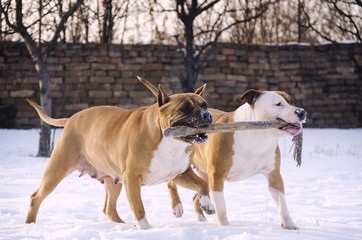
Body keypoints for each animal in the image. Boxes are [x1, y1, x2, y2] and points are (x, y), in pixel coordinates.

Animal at [25, 78, 215, 230]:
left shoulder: (180, 173)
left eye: (205, 105)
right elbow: (138, 207)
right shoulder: (132, 178)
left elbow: (203, 184)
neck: (170, 140)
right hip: (58, 168)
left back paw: (122, 225)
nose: (207, 115)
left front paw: (207, 204)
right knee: (36, 197)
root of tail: (70, 118)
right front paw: (145, 229)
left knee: (109, 208)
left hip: (113, 181)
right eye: (184, 108)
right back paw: (29, 224)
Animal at [169, 89, 306, 229]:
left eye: (292, 101)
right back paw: (177, 207)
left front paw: (289, 224)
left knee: (198, 192)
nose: (301, 112)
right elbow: (221, 208)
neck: (258, 136)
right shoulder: (217, 176)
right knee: (171, 182)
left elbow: (282, 202)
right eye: (278, 104)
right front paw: (225, 227)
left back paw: (202, 217)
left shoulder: (274, 175)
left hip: (204, 174)